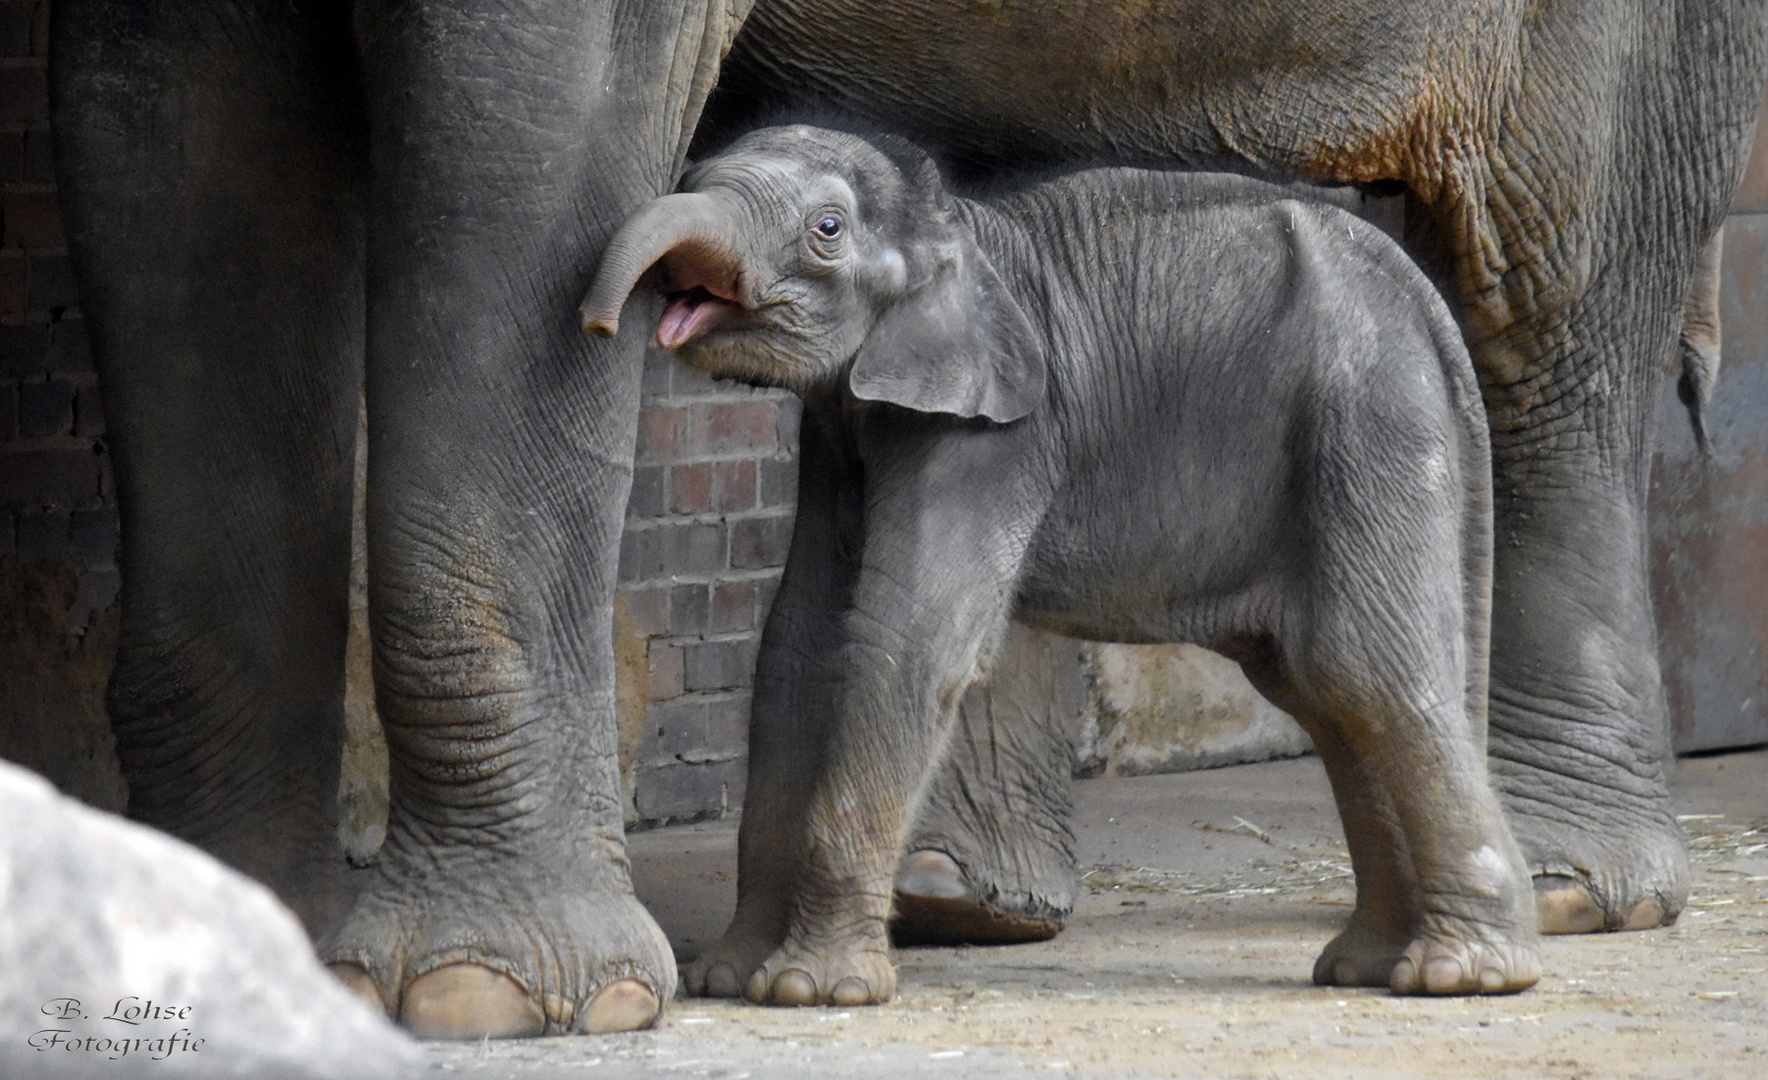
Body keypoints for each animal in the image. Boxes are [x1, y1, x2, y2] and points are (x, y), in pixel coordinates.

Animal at [586, 124, 1541, 1003]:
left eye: (827, 229)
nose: (598, 321)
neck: (953, 224)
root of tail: (1422, 298)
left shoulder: (995, 436)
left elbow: (905, 642)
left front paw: (812, 991)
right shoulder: (842, 437)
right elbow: (797, 644)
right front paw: (726, 977)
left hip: (1373, 420)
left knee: (1369, 674)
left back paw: (1465, 973)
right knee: (1322, 691)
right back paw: (1368, 966)